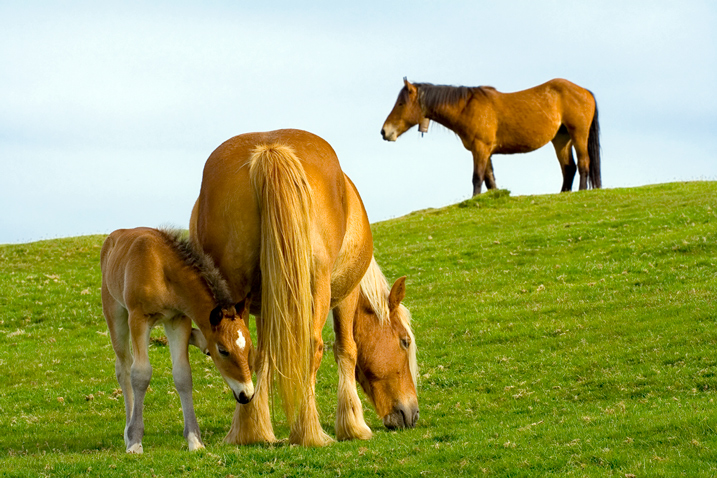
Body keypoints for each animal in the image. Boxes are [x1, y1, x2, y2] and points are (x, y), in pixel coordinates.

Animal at [100, 227, 255, 453]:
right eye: (223, 350)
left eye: (249, 348)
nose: (247, 394)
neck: (163, 269)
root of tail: (114, 236)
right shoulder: (138, 318)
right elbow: (140, 374)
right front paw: (135, 441)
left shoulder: (178, 320)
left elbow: (183, 375)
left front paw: (194, 440)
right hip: (115, 312)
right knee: (124, 368)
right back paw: (128, 433)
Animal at [189, 128, 419, 446]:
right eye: (404, 341)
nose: (412, 413)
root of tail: (269, 151)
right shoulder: (345, 294)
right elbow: (346, 350)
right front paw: (353, 425)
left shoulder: (265, 305)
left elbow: (262, 356)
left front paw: (258, 427)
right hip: (317, 286)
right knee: (314, 346)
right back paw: (308, 432)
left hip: (236, 288)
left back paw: (246, 432)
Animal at [381, 78, 601, 196]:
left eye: (401, 103)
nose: (384, 131)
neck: (467, 108)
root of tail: (584, 91)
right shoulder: (484, 150)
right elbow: (490, 180)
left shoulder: (480, 148)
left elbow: (477, 178)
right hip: (561, 139)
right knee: (569, 168)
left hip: (578, 134)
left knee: (583, 163)